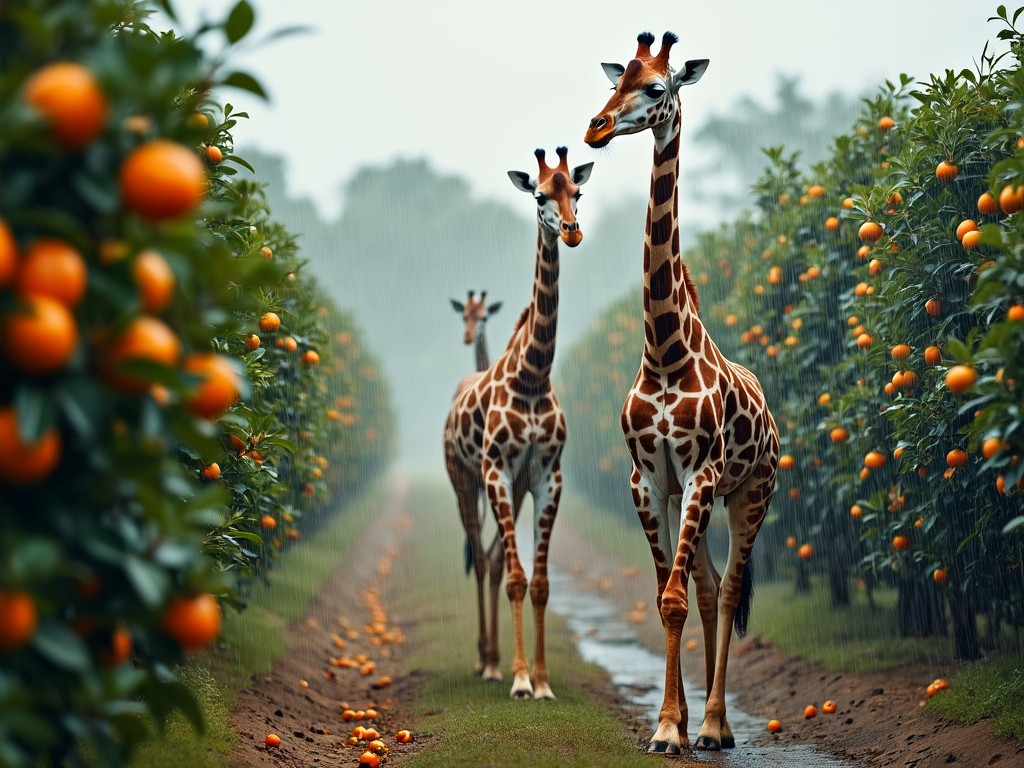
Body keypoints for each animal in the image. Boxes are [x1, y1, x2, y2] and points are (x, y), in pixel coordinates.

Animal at [444, 145, 598, 704]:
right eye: (539, 195)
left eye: (576, 191)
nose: (571, 231)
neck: (533, 377)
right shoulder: (498, 473)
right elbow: (514, 576)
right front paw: (518, 680)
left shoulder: (547, 477)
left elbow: (540, 581)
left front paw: (544, 681)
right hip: (466, 480)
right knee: (479, 553)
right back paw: (485, 662)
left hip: (506, 488)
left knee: (489, 557)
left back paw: (494, 660)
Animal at [585, 33, 774, 753]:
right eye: (615, 81)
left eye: (657, 88)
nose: (596, 127)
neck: (663, 353)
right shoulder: (648, 479)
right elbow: (667, 596)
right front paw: (669, 724)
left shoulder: (702, 472)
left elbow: (675, 597)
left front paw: (677, 729)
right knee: (708, 585)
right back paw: (703, 723)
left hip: (752, 491)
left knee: (731, 587)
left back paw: (718, 725)